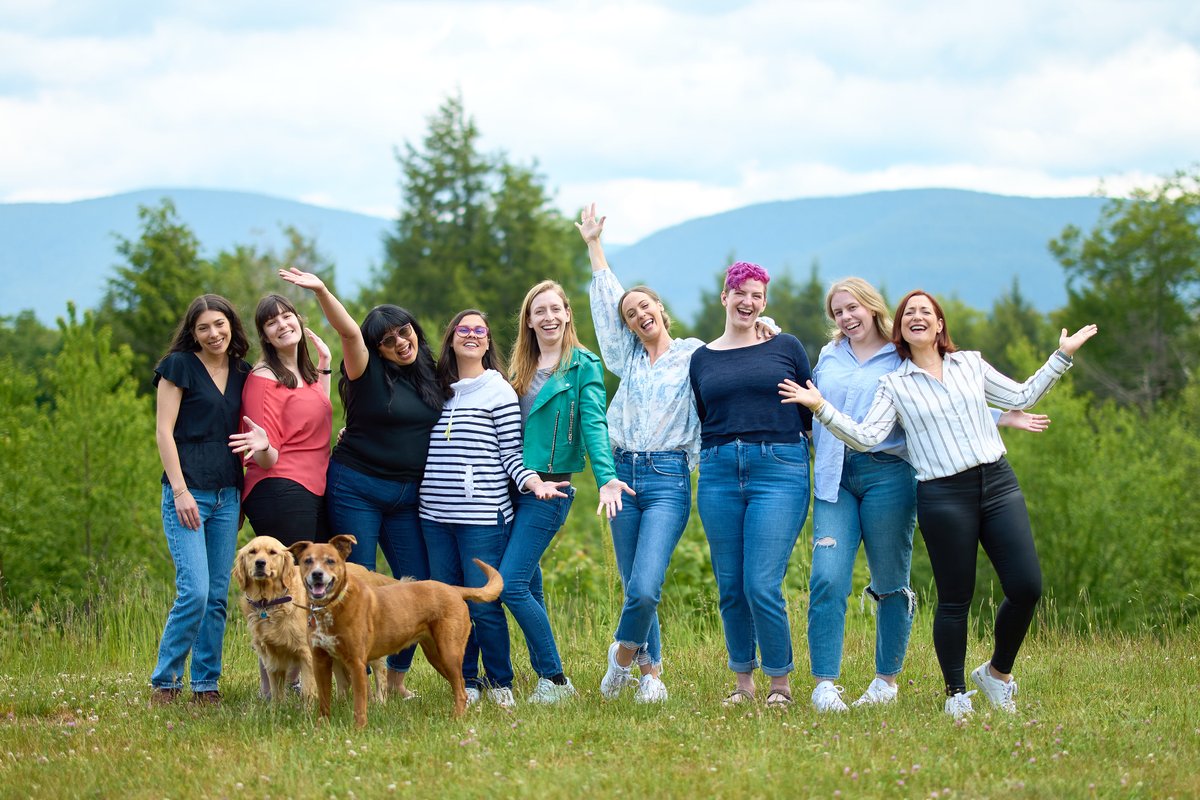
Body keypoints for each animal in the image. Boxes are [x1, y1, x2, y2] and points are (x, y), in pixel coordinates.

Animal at [236, 537, 391, 700]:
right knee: (344, 680)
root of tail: (369, 572)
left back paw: (380, 701)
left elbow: (308, 691)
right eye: (252, 552)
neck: (271, 601)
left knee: (380, 673)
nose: (260, 563)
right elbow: (276, 693)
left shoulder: (308, 653)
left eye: (272, 552)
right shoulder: (271, 656)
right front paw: (275, 707)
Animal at [289, 534, 501, 729]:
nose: (317, 574)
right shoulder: (321, 661)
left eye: (330, 561)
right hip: (436, 655)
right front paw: (321, 728)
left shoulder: (356, 662)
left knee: (461, 691)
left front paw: (358, 731)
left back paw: (456, 721)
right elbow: (324, 701)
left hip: (449, 652)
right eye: (308, 560)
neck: (333, 606)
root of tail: (455, 589)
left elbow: (360, 705)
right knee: (460, 686)